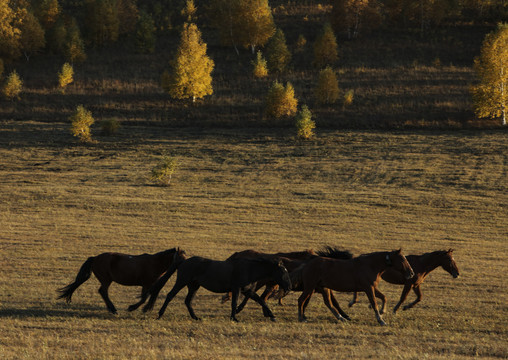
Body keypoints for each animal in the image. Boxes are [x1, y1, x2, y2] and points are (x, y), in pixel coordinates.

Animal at [56, 246, 187, 314]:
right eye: (180, 257)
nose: (185, 265)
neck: (155, 263)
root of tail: (95, 258)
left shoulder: (152, 285)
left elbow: (149, 297)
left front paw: (144, 309)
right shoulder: (146, 284)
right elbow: (144, 298)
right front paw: (132, 308)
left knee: (102, 292)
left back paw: (111, 309)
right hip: (106, 280)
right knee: (103, 292)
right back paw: (113, 309)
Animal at [143, 255, 292, 322]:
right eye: (283, 271)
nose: (289, 286)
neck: (249, 270)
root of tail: (184, 261)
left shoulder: (248, 291)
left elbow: (262, 302)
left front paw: (272, 316)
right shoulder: (236, 289)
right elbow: (234, 303)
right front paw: (234, 318)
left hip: (194, 286)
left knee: (187, 301)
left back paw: (195, 317)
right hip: (181, 282)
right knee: (170, 295)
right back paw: (160, 314)